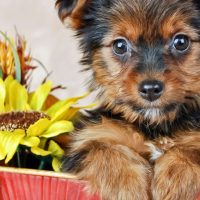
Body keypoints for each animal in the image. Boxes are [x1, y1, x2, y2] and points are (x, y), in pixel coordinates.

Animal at [55, 0, 200, 200]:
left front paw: (177, 178)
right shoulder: (92, 135)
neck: (154, 126)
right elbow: (102, 148)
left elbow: (192, 147)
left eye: (181, 42)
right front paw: (126, 186)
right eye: (120, 46)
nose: (150, 89)